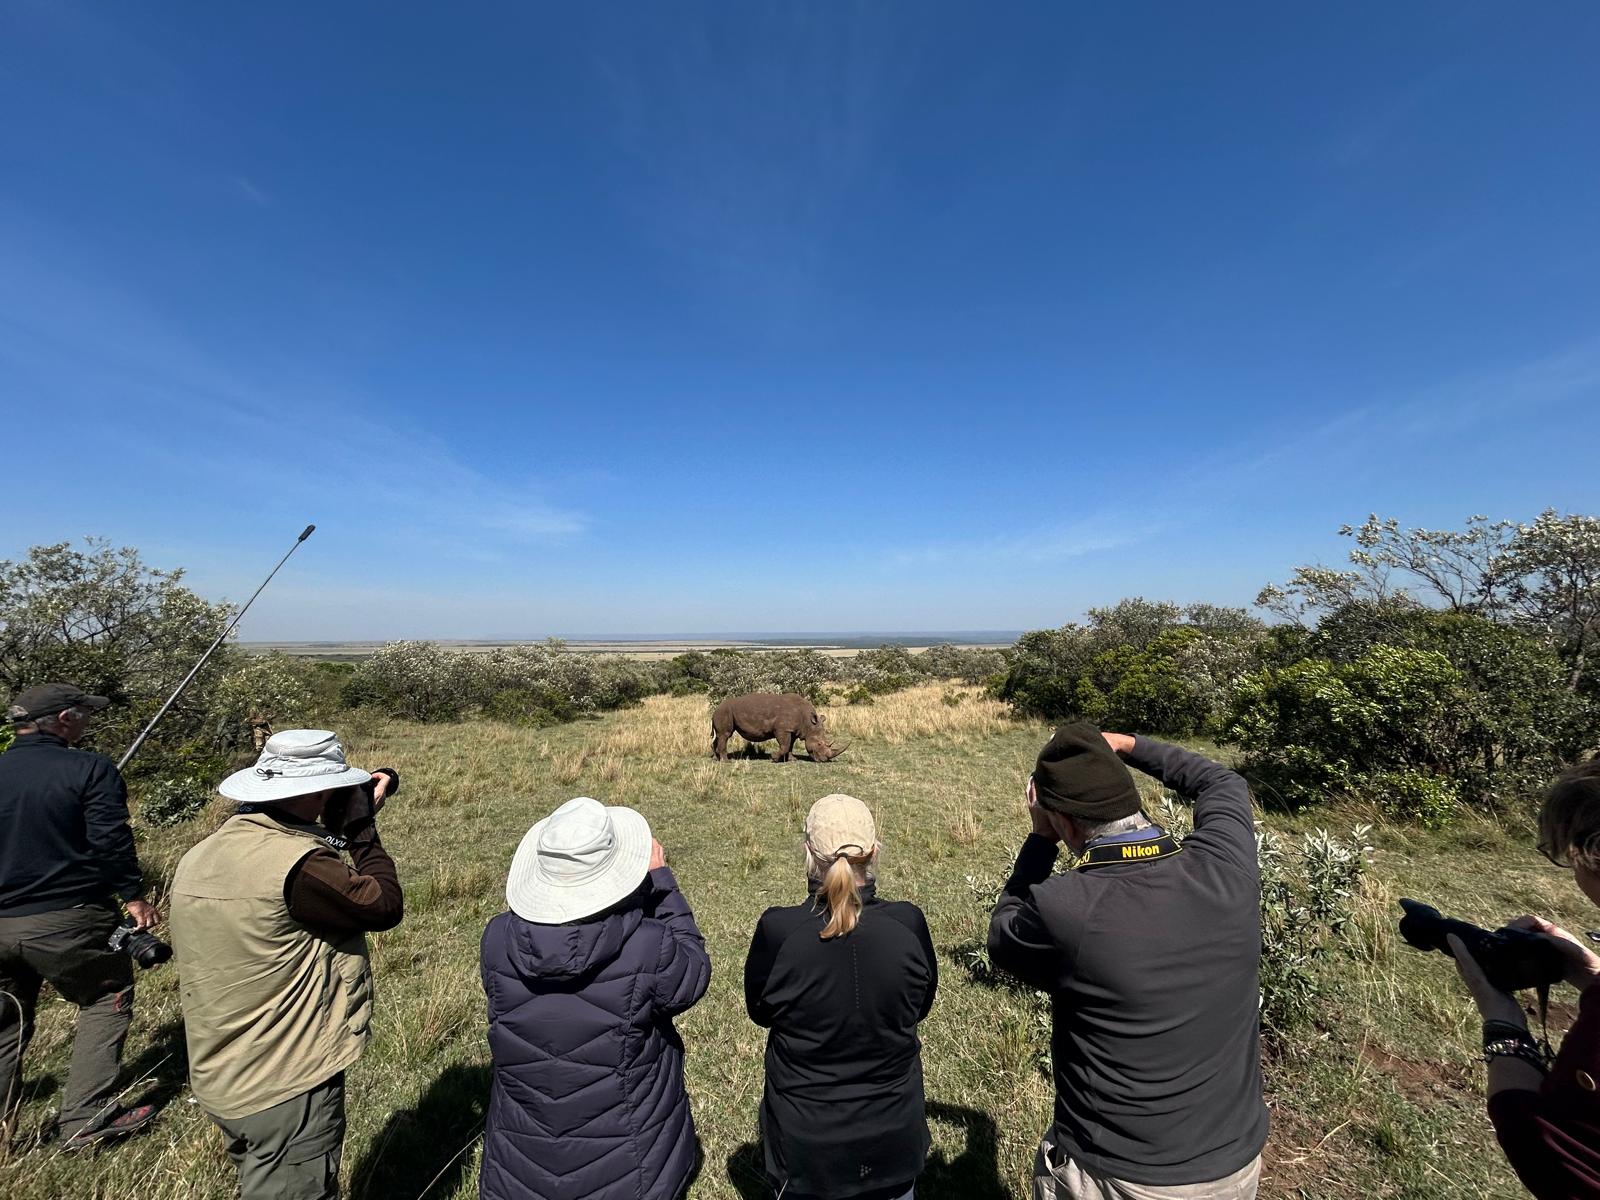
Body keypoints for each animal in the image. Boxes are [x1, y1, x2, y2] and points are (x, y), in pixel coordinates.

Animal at [712, 692, 844, 762]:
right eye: (819, 744)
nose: (824, 760)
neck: (808, 723)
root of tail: (715, 709)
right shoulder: (782, 729)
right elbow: (785, 745)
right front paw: (774, 758)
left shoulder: (793, 730)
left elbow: (790, 746)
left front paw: (792, 760)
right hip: (725, 711)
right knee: (725, 735)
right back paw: (726, 761)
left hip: (724, 712)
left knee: (719, 736)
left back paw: (716, 758)